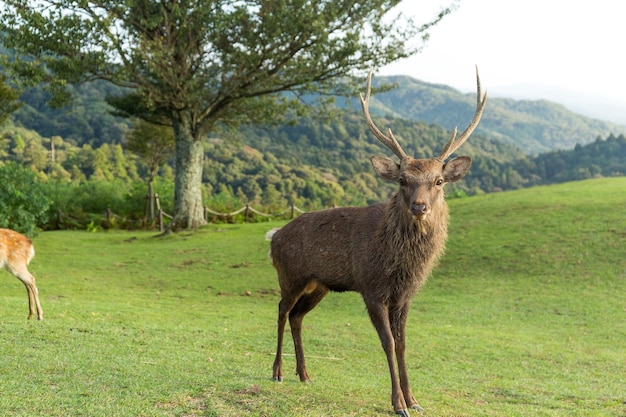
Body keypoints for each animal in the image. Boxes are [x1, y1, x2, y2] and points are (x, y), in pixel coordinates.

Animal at [270, 66, 486, 414]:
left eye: (439, 180)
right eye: (402, 180)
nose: (419, 206)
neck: (400, 266)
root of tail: (273, 237)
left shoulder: (405, 296)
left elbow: (403, 343)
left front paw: (415, 400)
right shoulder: (372, 289)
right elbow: (387, 342)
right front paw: (398, 403)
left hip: (319, 285)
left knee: (297, 316)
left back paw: (304, 374)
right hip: (290, 275)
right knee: (280, 310)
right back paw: (276, 372)